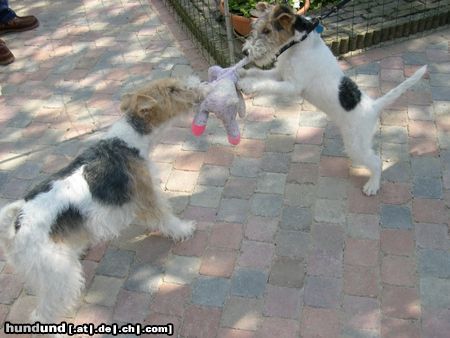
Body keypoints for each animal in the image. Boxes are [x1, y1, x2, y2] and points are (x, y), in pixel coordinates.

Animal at [0, 78, 200, 324]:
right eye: (172, 90)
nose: (197, 88)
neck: (126, 141)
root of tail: (15, 227)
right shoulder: (147, 197)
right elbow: (166, 218)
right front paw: (184, 229)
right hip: (58, 275)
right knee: (43, 312)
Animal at [237, 2, 428, 195]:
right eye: (255, 27)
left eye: (267, 30)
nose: (245, 52)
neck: (302, 43)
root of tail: (373, 106)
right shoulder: (280, 73)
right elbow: (259, 74)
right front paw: (242, 73)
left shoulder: (293, 85)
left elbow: (265, 84)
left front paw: (246, 84)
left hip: (356, 144)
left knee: (376, 162)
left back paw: (372, 186)